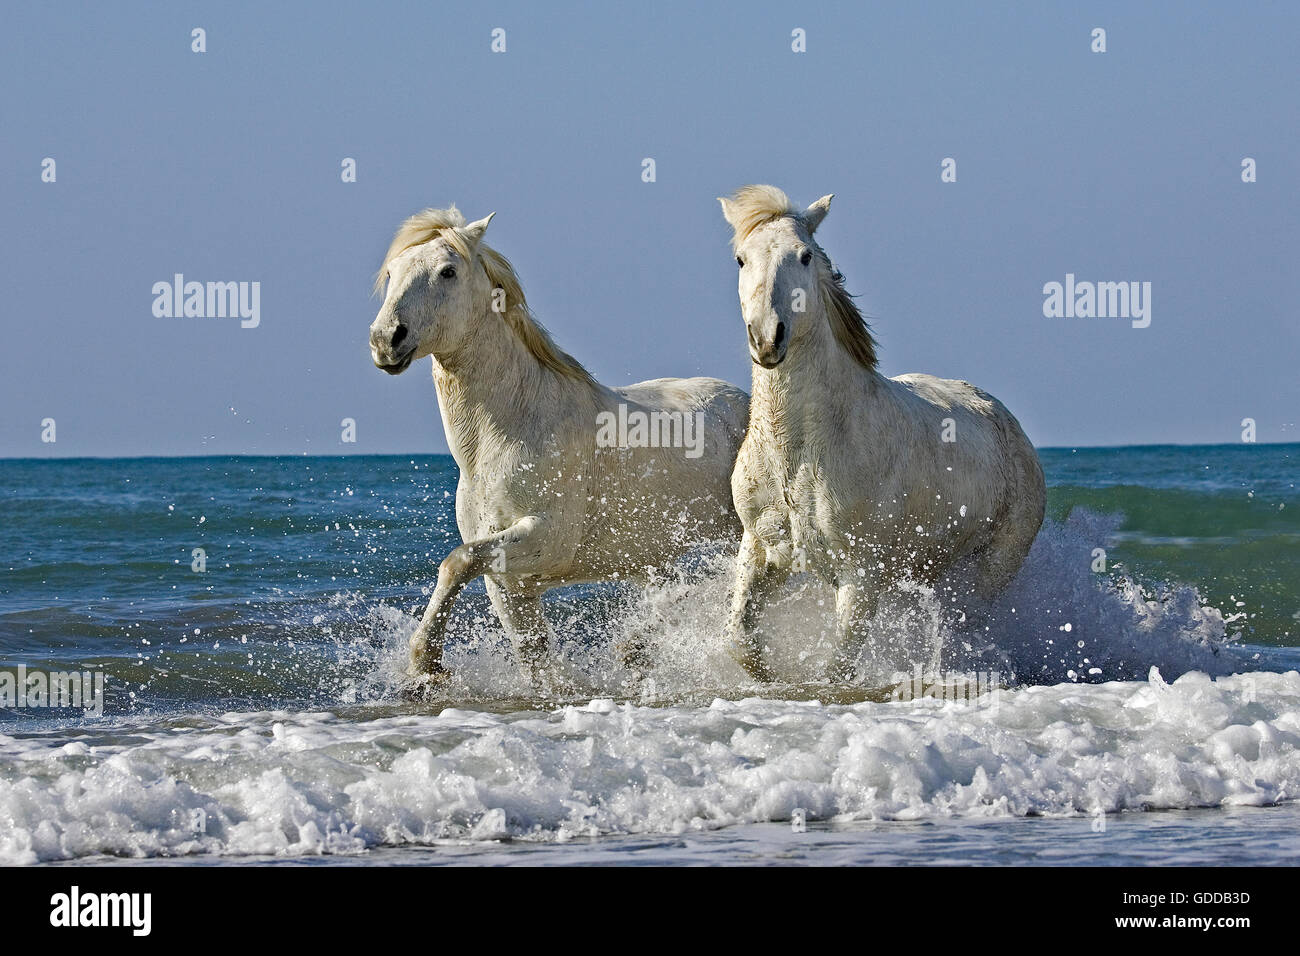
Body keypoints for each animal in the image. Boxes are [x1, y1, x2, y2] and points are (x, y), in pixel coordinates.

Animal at [371, 208, 748, 686]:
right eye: (391, 273)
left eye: (447, 271)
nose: (386, 339)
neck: (503, 436)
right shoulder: (511, 583)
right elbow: (533, 655)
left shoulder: (548, 539)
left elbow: (456, 562)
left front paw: (426, 663)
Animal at [722, 184, 1045, 681]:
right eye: (741, 259)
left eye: (804, 256)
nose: (767, 339)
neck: (796, 453)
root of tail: (1008, 421)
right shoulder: (760, 549)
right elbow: (740, 639)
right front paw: (770, 678)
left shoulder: (860, 576)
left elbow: (837, 665)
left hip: (994, 567)